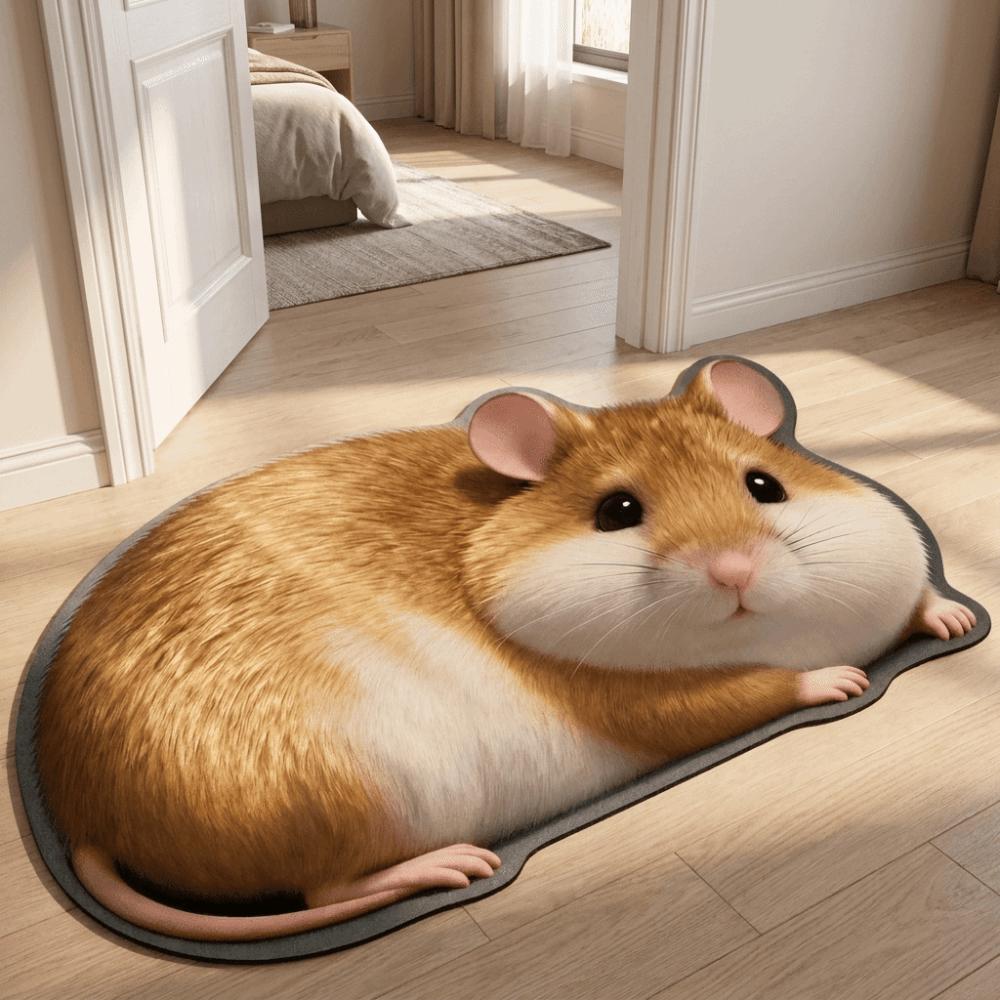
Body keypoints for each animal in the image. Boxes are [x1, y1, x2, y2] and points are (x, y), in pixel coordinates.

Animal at [36, 359, 974, 942]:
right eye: (617, 512)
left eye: (765, 484)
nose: (734, 571)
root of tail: (83, 812)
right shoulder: (645, 705)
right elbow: (747, 691)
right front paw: (836, 678)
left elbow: (913, 600)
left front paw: (951, 620)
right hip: (371, 793)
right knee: (327, 890)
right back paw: (454, 866)